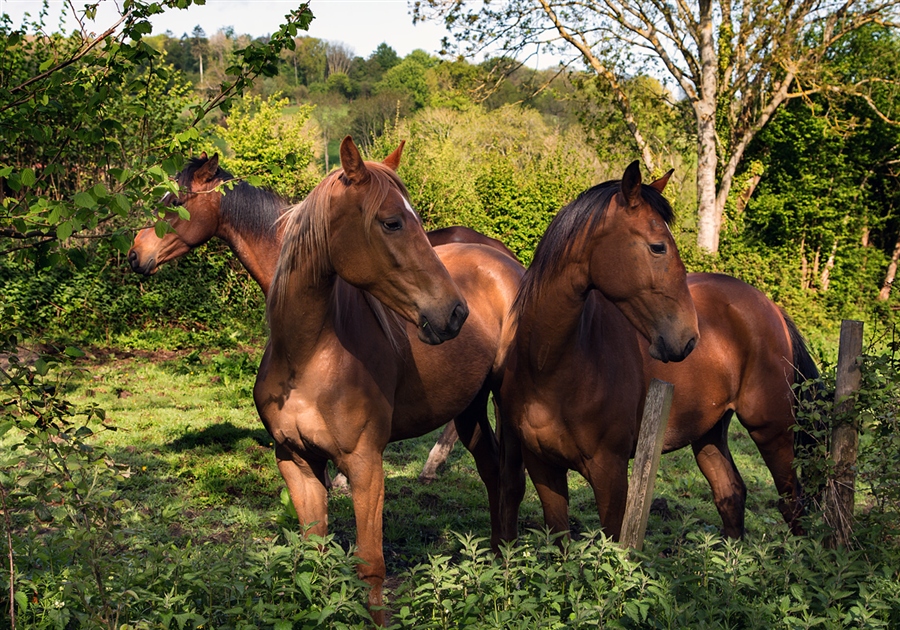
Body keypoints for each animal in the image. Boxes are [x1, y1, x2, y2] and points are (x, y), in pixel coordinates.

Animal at [253, 136, 524, 624]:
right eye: (392, 222)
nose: (455, 313)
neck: (307, 359)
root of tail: (506, 263)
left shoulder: (365, 464)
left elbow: (371, 565)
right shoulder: (297, 462)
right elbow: (314, 555)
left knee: (511, 481)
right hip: (469, 408)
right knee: (492, 472)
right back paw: (494, 563)